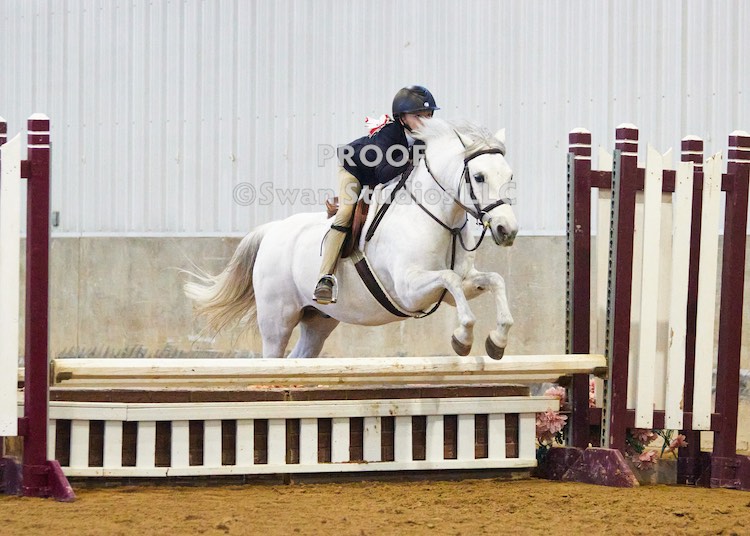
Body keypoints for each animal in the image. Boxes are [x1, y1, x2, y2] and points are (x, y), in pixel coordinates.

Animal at [184, 118, 518, 359]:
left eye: (510, 175)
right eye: (479, 177)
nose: (508, 230)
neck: (441, 221)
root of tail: (271, 231)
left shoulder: (456, 287)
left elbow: (494, 280)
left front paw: (497, 341)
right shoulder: (410, 289)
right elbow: (449, 279)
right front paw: (462, 339)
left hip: (318, 320)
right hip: (276, 320)